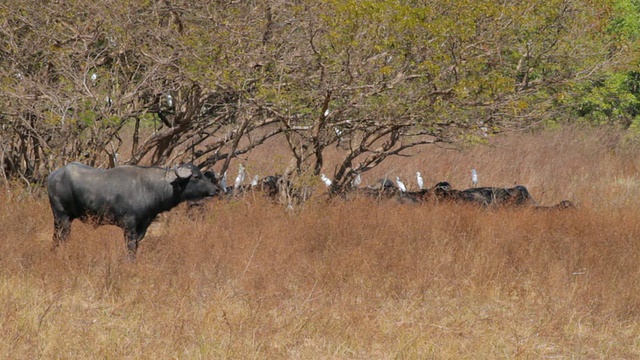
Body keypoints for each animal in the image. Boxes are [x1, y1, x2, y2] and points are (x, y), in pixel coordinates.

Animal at [46, 162, 219, 258]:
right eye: (196, 176)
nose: (215, 190)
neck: (149, 187)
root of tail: (53, 175)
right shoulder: (129, 225)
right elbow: (130, 247)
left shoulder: (142, 226)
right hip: (63, 218)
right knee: (62, 238)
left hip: (58, 220)